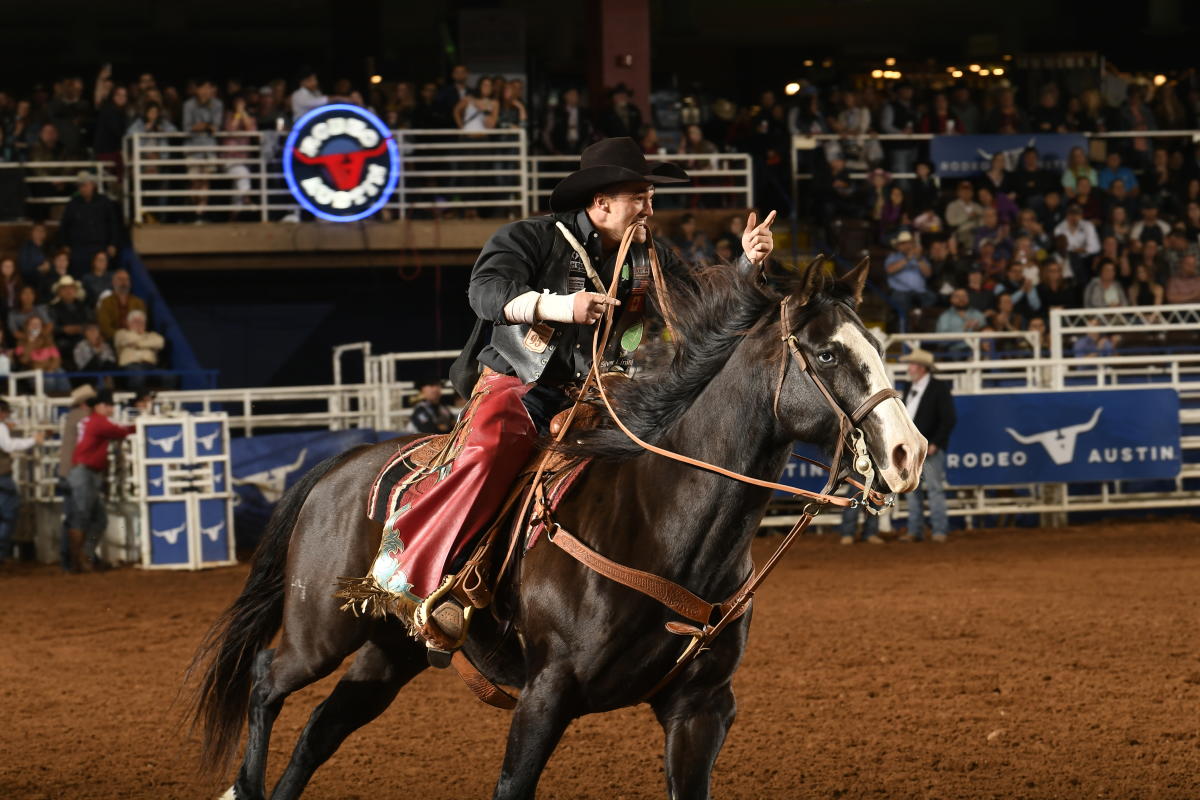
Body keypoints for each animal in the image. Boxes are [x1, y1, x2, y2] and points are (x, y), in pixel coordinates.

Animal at [189, 260, 916, 796]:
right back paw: (243, 787)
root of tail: (339, 465)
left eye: (879, 348)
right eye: (827, 354)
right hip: (321, 630)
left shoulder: (701, 710)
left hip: (388, 649)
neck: (660, 520)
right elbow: (513, 786)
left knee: (319, 730)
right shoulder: (545, 695)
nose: (910, 452)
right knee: (265, 678)